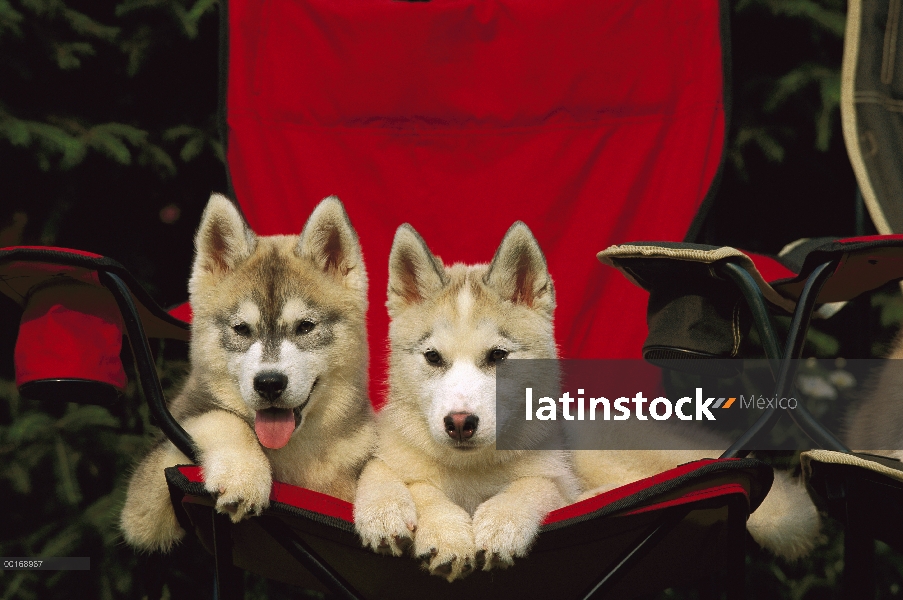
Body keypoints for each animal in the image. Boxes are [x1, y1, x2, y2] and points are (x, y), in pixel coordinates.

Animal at [120, 193, 374, 552]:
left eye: (305, 327)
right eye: (241, 329)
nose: (269, 383)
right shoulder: (142, 505)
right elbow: (220, 417)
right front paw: (244, 475)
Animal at [354, 221, 580, 580]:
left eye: (498, 355)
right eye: (432, 357)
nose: (460, 424)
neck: (470, 469)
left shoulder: (563, 483)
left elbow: (533, 486)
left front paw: (502, 524)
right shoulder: (391, 456)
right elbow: (412, 484)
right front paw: (440, 533)